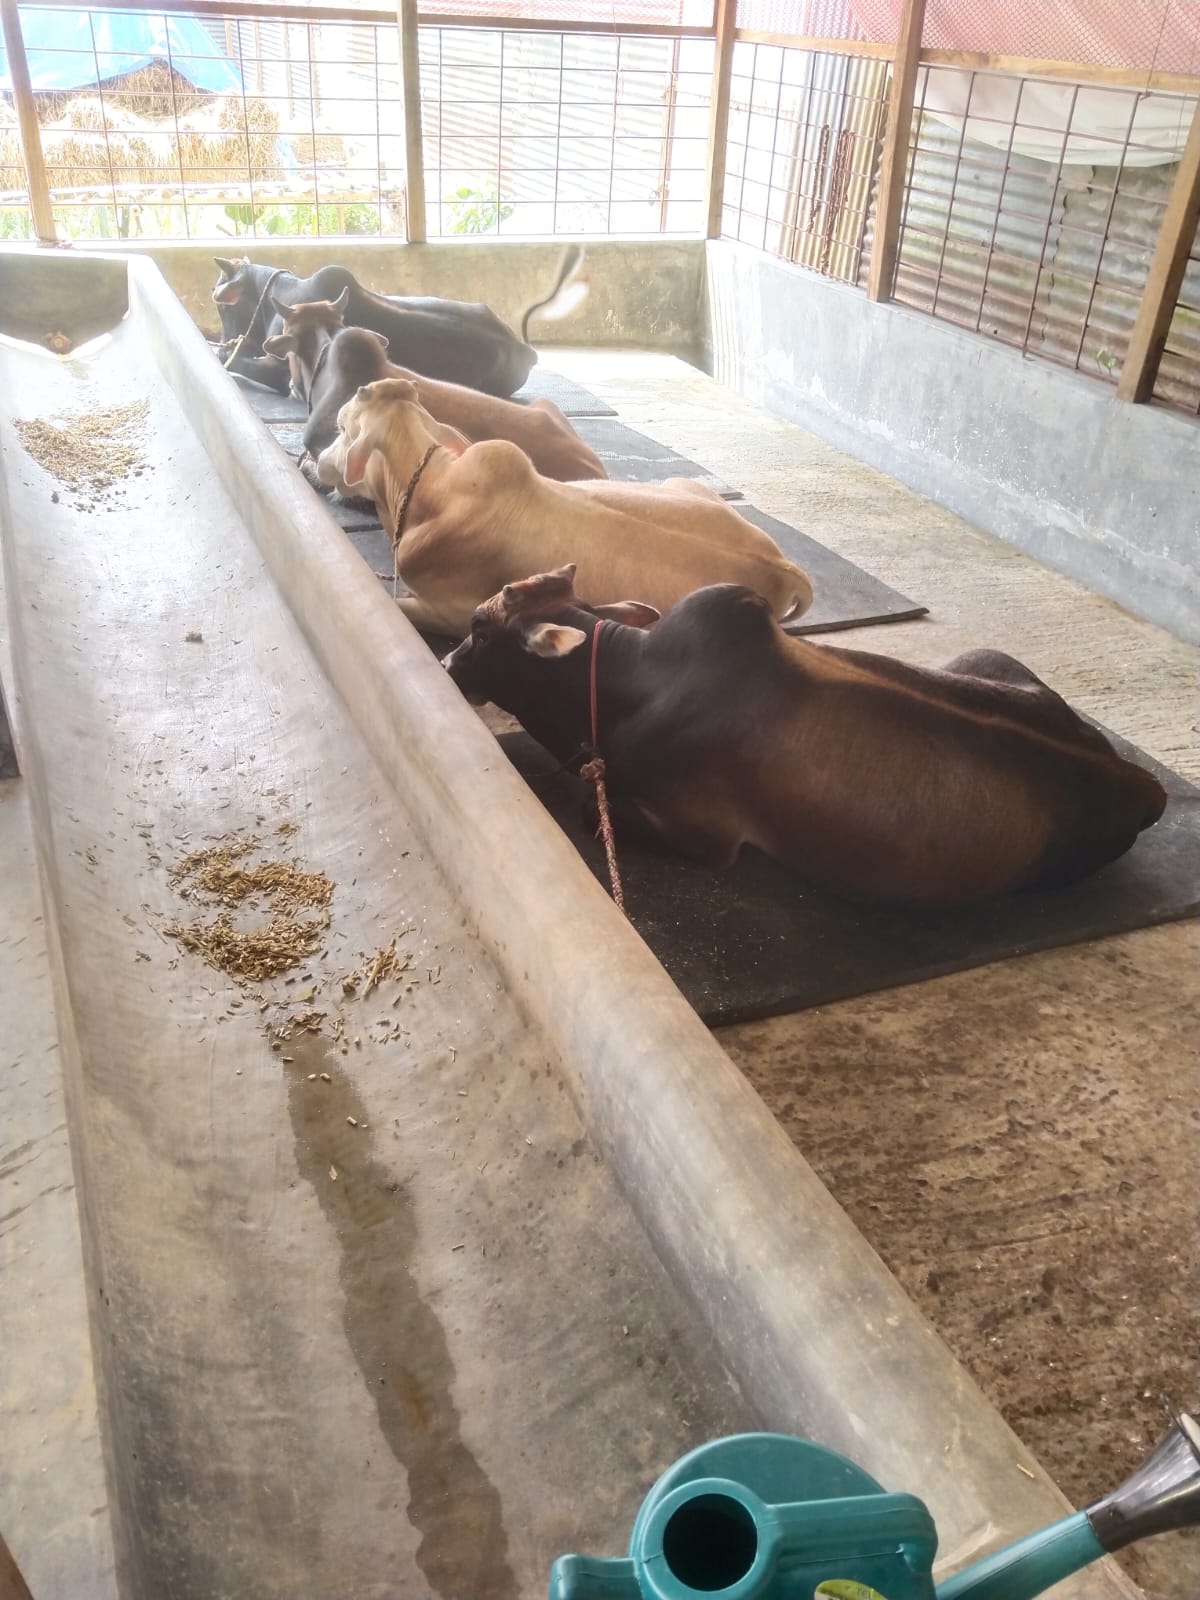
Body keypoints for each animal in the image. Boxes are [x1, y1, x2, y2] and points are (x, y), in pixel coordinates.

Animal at [314, 379, 813, 638]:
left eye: (341, 427)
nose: (314, 458)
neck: (431, 490)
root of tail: (786, 566)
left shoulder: (451, 611)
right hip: (681, 485)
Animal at [442, 566, 1167, 909]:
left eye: (479, 627)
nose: (446, 664)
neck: (632, 682)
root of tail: (1143, 784)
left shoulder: (707, 837)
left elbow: (585, 808)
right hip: (984, 660)